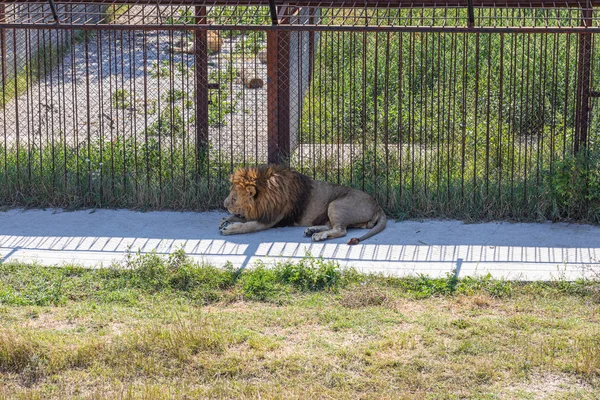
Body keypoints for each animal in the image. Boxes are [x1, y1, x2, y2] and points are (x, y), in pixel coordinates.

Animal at [218, 165, 386, 245]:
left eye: (233, 198)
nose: (224, 204)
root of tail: (378, 206)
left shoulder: (271, 219)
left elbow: (249, 225)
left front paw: (229, 228)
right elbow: (243, 218)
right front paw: (225, 220)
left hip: (335, 204)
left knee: (341, 230)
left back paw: (318, 235)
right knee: (332, 225)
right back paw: (312, 230)